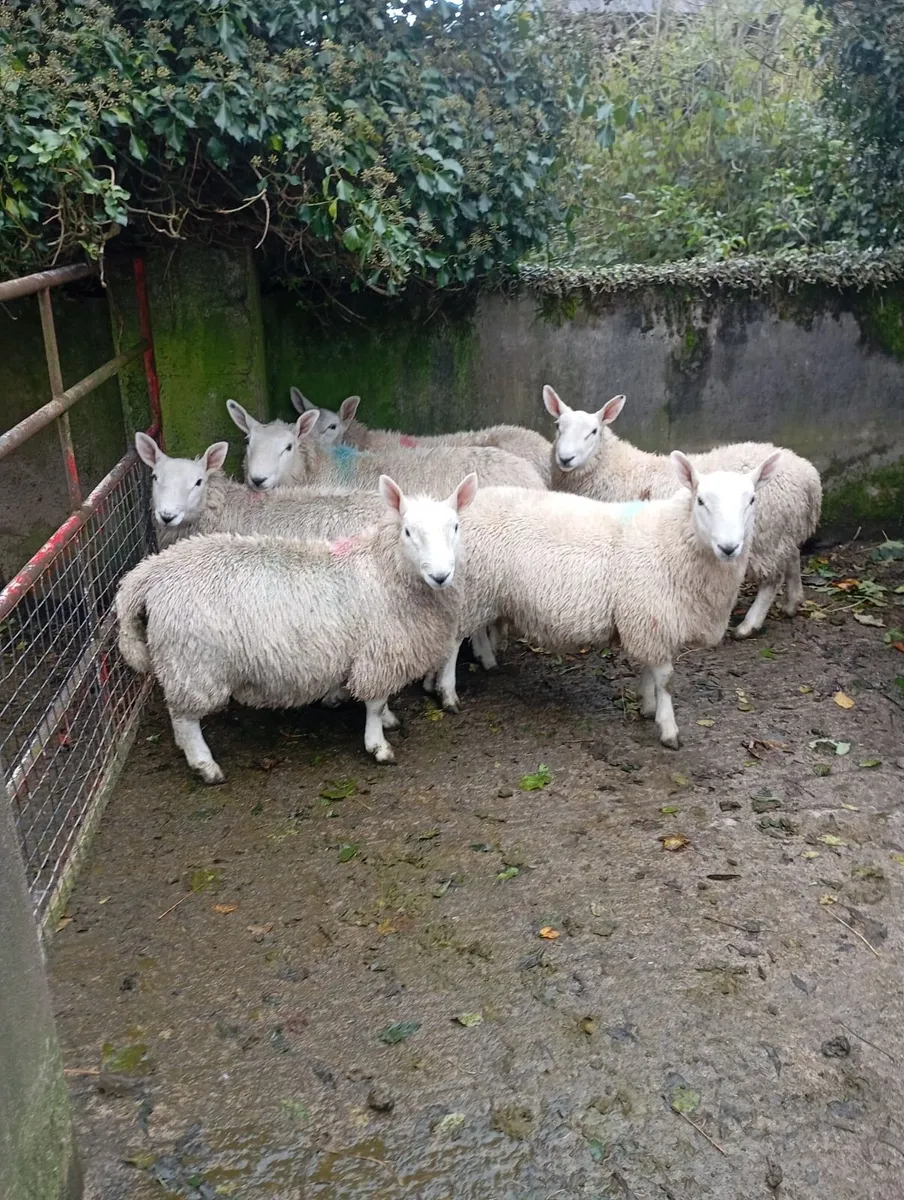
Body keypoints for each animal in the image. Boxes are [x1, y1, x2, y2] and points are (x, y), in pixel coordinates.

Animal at [115, 473, 477, 782]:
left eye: (456, 527)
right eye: (408, 531)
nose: (441, 576)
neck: (383, 569)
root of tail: (150, 572)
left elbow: (381, 700)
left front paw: (387, 719)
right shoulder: (377, 655)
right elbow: (374, 704)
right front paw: (378, 745)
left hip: (184, 662)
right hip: (192, 661)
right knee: (185, 717)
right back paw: (205, 766)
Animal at [428, 451, 781, 748]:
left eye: (752, 499)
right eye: (701, 500)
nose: (729, 548)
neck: (673, 540)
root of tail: (463, 507)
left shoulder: (649, 620)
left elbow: (650, 670)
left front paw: (647, 705)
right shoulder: (651, 617)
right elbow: (666, 679)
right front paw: (668, 728)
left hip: (482, 590)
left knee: (473, 630)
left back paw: (483, 661)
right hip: (471, 587)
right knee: (454, 640)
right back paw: (448, 693)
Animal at [543, 386, 822, 638]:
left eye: (593, 431)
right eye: (558, 426)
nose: (565, 458)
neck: (615, 469)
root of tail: (809, 477)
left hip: (766, 535)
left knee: (772, 578)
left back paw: (748, 625)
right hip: (783, 529)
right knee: (793, 556)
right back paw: (792, 603)